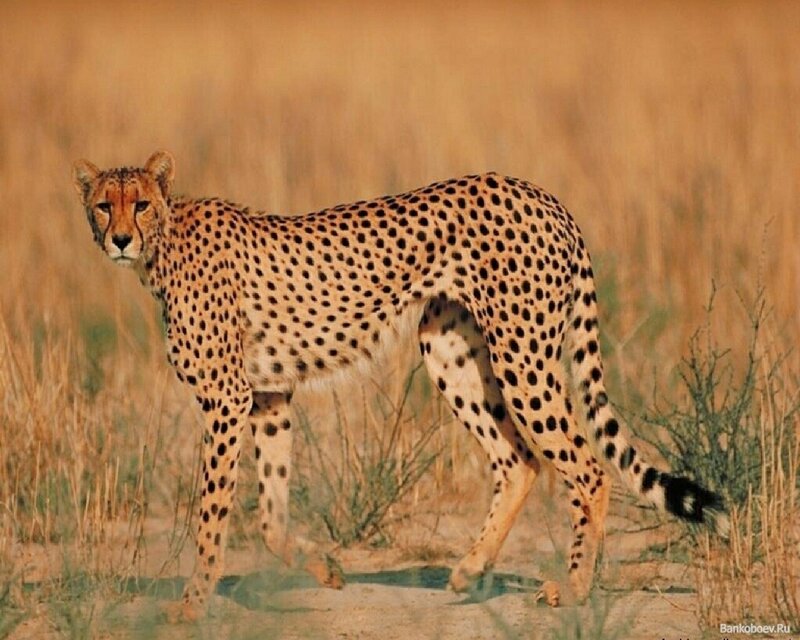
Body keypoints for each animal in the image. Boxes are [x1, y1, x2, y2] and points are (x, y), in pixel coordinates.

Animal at [72, 150, 728, 620]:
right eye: (104, 205)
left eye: (141, 204)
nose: (120, 238)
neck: (165, 244)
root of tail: (541, 193)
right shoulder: (269, 396)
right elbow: (270, 515)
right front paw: (324, 568)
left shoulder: (226, 400)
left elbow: (211, 512)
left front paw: (190, 604)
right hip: (450, 352)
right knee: (518, 459)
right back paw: (469, 570)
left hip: (522, 356)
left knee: (587, 467)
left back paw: (572, 589)